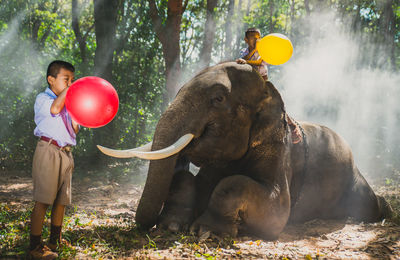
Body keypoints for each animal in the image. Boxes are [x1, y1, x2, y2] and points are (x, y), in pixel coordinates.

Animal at [97, 61, 390, 240]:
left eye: (218, 98)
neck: (269, 91)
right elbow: (186, 180)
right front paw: (170, 226)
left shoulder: (278, 150)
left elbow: (271, 210)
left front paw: (206, 231)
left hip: (355, 185)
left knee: (367, 205)